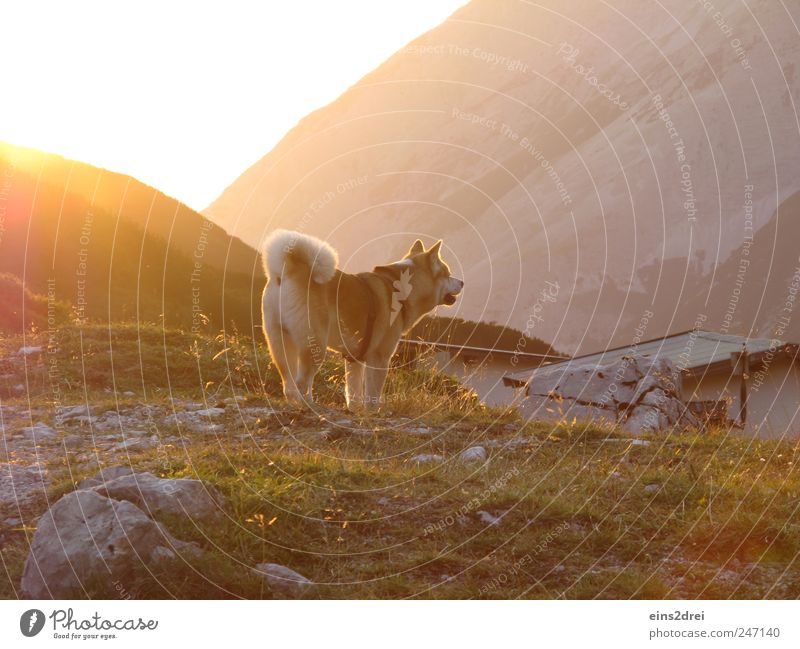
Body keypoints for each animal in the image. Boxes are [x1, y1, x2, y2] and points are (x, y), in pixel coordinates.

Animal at [260, 230, 462, 408]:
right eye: (448, 273)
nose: (462, 282)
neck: (401, 290)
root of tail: (290, 268)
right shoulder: (380, 357)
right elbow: (373, 393)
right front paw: (372, 413)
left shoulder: (354, 358)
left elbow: (354, 392)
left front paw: (356, 411)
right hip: (315, 345)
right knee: (302, 382)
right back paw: (309, 405)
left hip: (280, 342)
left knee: (289, 384)